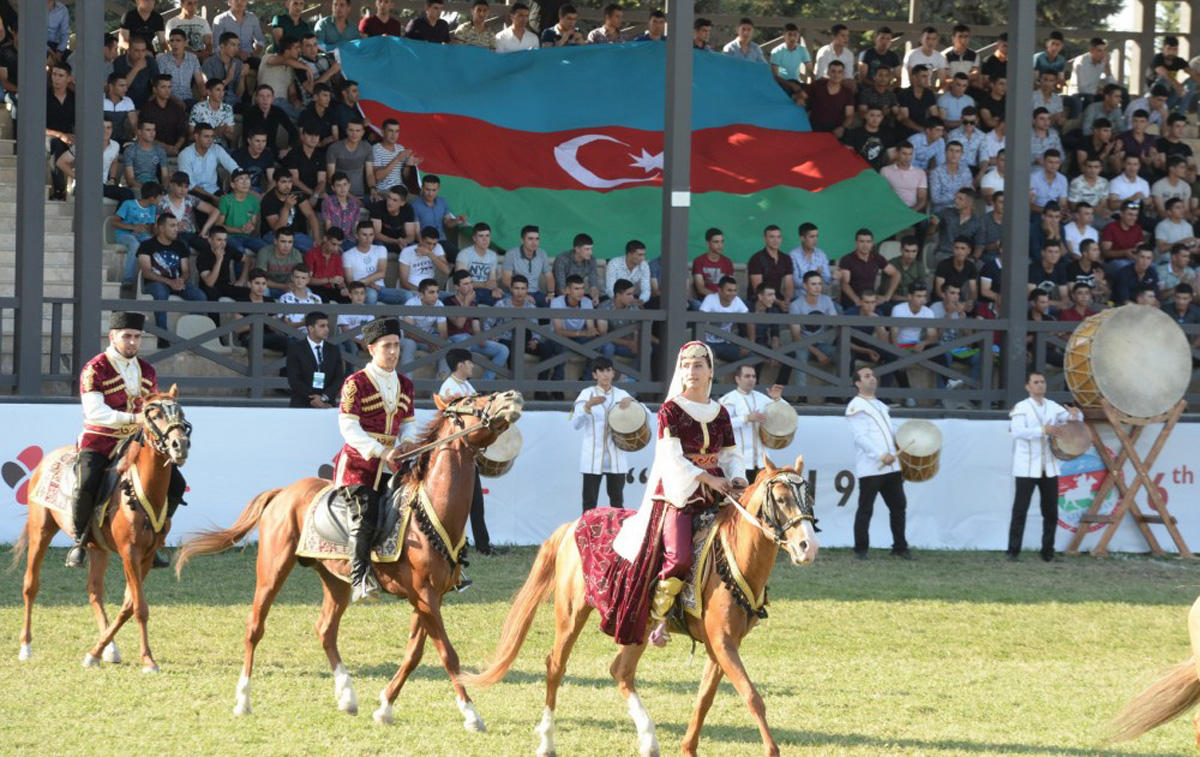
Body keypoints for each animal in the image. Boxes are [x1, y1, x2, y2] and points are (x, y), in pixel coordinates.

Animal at [12, 388, 192, 671]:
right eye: (153, 415)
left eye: (181, 412)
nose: (180, 445)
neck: (141, 490)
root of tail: (48, 459)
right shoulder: (129, 552)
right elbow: (140, 607)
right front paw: (148, 659)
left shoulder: (147, 555)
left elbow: (129, 605)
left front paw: (95, 652)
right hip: (40, 530)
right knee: (30, 585)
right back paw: (26, 647)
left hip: (98, 548)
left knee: (94, 590)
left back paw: (109, 649)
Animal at [172, 391, 520, 729]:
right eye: (470, 402)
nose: (512, 396)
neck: (431, 512)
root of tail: (283, 492)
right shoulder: (423, 596)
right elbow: (448, 655)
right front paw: (471, 714)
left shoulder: (433, 597)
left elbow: (414, 653)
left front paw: (385, 707)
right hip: (272, 570)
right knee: (254, 628)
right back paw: (243, 701)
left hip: (336, 580)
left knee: (325, 629)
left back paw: (348, 697)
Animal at [463, 455, 820, 757]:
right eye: (782, 500)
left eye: (809, 499)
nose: (808, 547)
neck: (732, 556)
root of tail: (572, 525)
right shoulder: (722, 642)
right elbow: (752, 696)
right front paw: (771, 750)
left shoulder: (721, 645)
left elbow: (704, 699)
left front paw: (688, 748)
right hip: (571, 613)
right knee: (555, 666)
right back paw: (547, 742)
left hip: (636, 622)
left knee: (620, 671)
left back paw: (649, 740)